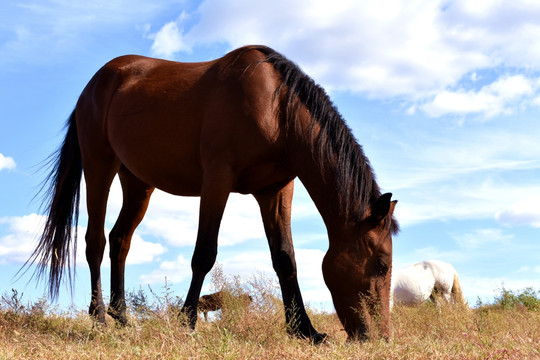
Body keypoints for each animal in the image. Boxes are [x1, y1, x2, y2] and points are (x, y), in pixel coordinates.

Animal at [30, 45, 400, 344]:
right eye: (382, 264)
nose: (380, 337)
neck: (276, 107)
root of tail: (94, 85)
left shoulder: (275, 190)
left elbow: (285, 258)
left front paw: (304, 330)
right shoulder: (217, 180)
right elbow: (204, 253)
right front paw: (187, 321)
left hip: (137, 182)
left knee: (119, 240)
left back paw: (121, 316)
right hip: (99, 166)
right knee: (94, 241)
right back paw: (100, 317)